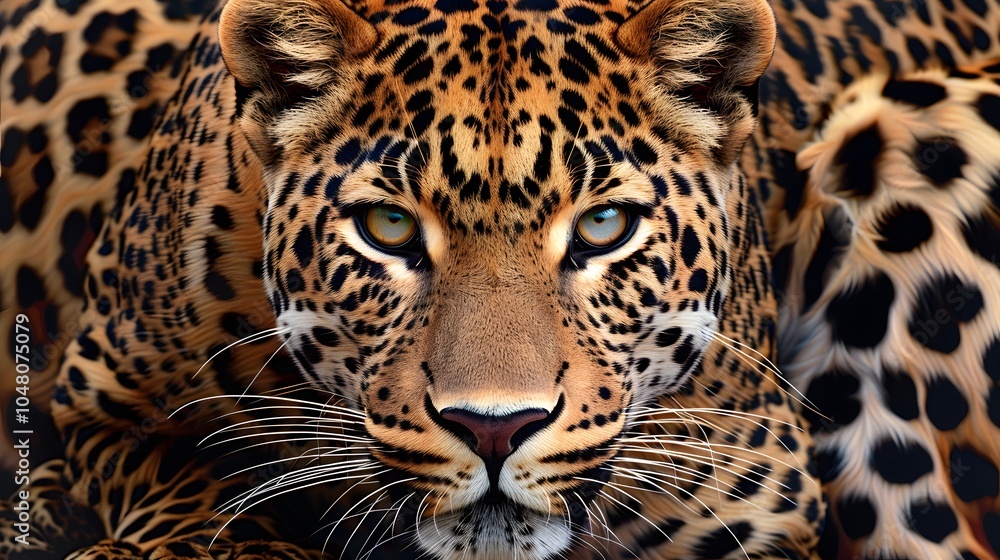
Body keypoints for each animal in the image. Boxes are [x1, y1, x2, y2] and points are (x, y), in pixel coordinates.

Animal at [0, 0, 998, 559]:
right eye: (388, 228)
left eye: (603, 226)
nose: (493, 428)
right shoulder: (104, 401)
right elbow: (201, 495)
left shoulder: (758, 501)